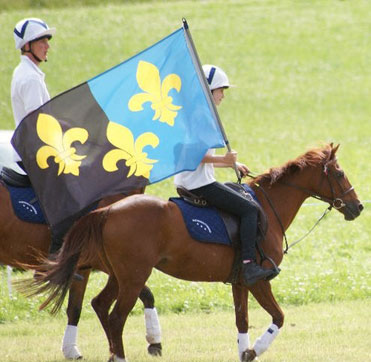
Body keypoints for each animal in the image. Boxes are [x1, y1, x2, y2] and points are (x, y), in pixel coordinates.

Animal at [29, 143, 364, 360]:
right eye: (338, 173)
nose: (358, 207)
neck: (267, 207)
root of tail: (107, 210)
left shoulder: (240, 282)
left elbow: (242, 320)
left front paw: (245, 351)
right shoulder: (258, 280)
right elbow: (279, 317)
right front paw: (255, 349)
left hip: (120, 276)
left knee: (99, 305)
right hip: (134, 278)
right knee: (115, 317)